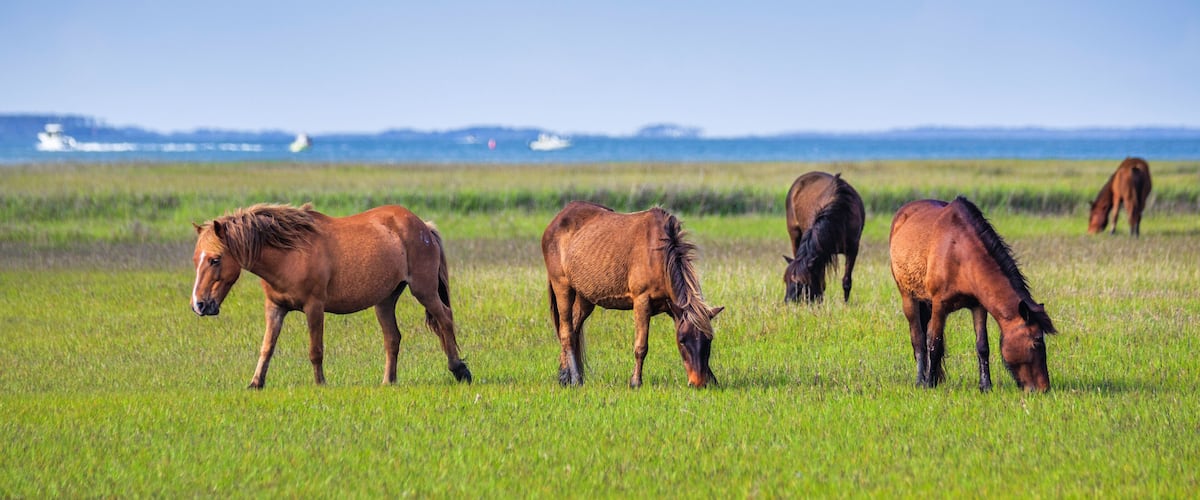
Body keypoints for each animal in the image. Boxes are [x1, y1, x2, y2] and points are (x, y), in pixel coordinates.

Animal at [190, 203, 472, 388]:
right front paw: (256, 383)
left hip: (423, 290)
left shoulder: (314, 307)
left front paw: (320, 383)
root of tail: (423, 226)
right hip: (385, 300)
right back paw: (388, 382)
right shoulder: (275, 307)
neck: (289, 254)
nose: (199, 305)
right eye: (196, 260)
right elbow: (267, 347)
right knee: (392, 338)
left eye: (215, 259)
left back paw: (459, 370)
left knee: (445, 319)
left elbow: (315, 349)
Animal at [541, 201, 724, 388]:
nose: (698, 383)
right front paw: (636, 382)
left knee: (574, 328)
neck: (659, 254)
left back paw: (565, 376)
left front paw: (712, 378)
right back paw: (576, 379)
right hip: (562, 286)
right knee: (567, 333)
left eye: (709, 339)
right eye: (682, 340)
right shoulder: (642, 301)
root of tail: (556, 221)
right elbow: (641, 346)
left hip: (585, 297)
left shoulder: (674, 308)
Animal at [782, 171, 865, 303]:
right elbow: (821, 283)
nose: (788, 302)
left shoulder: (852, 249)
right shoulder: (820, 253)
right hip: (794, 234)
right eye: (786, 280)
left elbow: (846, 281)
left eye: (801, 284)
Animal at [888, 196, 1057, 392]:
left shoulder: (978, 306)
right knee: (918, 340)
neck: (959, 252)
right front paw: (929, 384)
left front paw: (985, 386)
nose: (1044, 388)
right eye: (1037, 342)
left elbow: (982, 345)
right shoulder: (939, 305)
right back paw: (920, 380)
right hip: (909, 298)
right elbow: (933, 343)